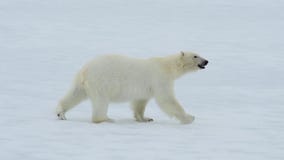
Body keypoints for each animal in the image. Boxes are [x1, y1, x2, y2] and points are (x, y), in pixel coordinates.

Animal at [56, 51, 209, 124]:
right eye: (195, 55)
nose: (206, 61)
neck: (167, 66)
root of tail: (85, 70)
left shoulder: (146, 87)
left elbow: (140, 102)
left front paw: (145, 118)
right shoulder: (160, 79)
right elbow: (167, 99)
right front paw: (189, 118)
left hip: (82, 82)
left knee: (74, 94)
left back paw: (61, 113)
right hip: (101, 82)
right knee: (101, 102)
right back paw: (106, 119)